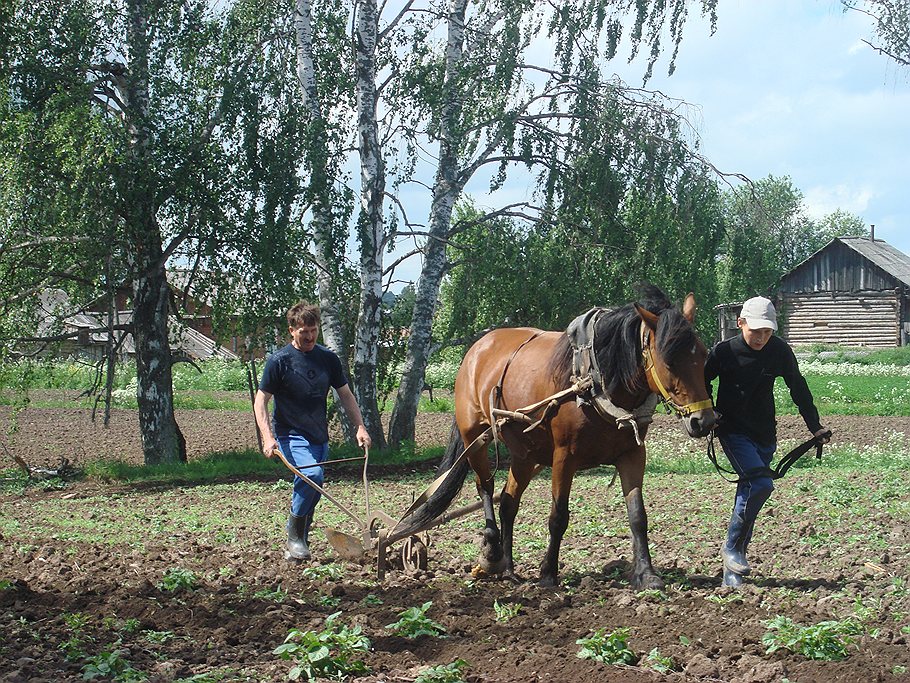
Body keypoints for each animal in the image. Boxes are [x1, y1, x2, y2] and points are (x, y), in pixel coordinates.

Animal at [396, 286, 716, 592]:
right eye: (669, 361)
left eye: (703, 355)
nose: (704, 421)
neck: (595, 381)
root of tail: (477, 349)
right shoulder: (564, 456)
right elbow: (558, 516)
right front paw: (548, 574)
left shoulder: (633, 454)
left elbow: (637, 515)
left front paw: (646, 575)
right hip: (474, 437)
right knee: (485, 487)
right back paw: (492, 553)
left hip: (524, 453)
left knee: (508, 502)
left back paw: (509, 568)